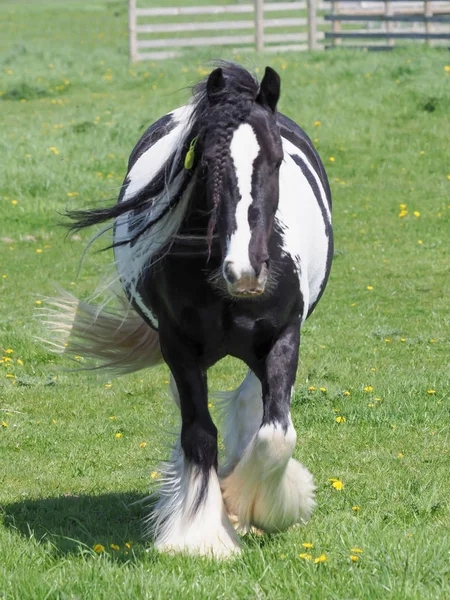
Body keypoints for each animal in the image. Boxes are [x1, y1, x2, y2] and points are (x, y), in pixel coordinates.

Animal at [49, 63, 332, 560]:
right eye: (206, 163)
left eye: (276, 158)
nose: (244, 270)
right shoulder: (178, 346)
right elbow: (199, 434)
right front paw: (202, 534)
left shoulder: (283, 335)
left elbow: (276, 432)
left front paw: (254, 507)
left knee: (251, 403)